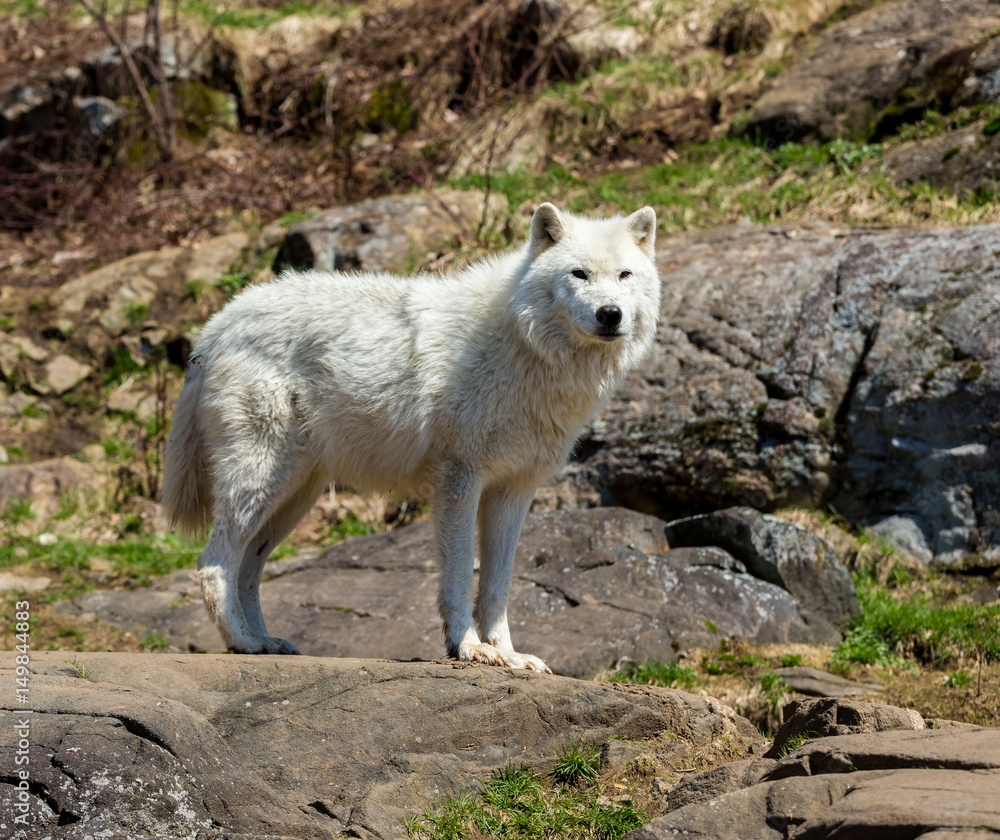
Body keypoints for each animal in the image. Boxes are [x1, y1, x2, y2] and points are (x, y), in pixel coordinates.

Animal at [162, 202, 660, 672]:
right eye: (579, 274)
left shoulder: (514, 490)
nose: (610, 314)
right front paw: (469, 648)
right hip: (259, 482)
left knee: (247, 569)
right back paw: (243, 643)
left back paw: (264, 642)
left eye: (624, 275)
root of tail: (216, 325)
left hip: (294, 497)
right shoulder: (459, 479)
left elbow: (497, 585)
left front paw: (509, 655)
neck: (524, 347)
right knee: (214, 564)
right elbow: (459, 575)